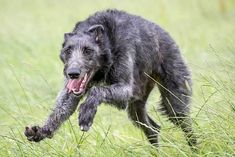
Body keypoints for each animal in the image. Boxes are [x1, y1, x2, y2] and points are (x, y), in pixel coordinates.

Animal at [24, 9, 196, 147]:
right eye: (68, 50)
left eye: (88, 50)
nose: (72, 73)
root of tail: (168, 36)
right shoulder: (72, 90)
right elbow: (62, 107)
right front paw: (43, 130)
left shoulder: (125, 88)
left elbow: (97, 90)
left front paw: (86, 113)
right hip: (137, 105)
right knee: (152, 128)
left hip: (175, 97)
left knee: (185, 124)